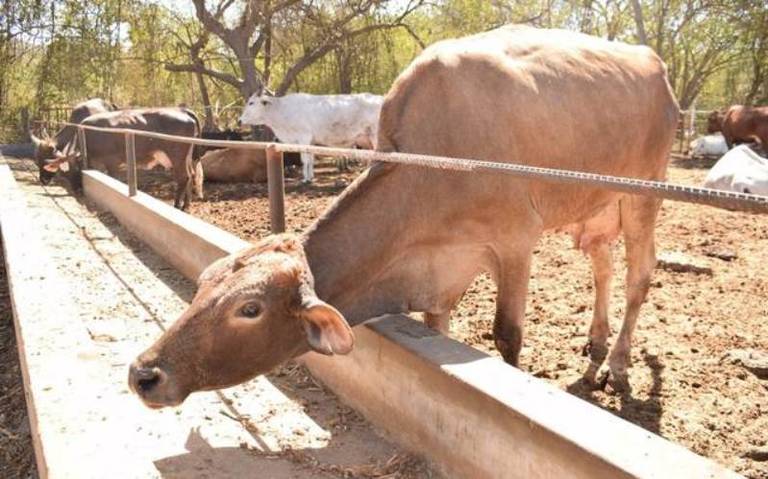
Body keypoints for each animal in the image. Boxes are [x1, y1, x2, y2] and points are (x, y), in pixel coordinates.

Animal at [43, 109, 202, 210]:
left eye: (76, 169)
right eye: (64, 174)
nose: (77, 191)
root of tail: (184, 112)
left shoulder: (113, 162)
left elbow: (114, 179)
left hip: (177, 155)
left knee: (184, 177)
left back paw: (177, 206)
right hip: (186, 156)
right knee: (191, 175)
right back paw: (186, 205)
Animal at [240, 93, 384, 183]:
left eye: (251, 102)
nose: (239, 120)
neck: (281, 110)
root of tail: (380, 98)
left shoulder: (303, 137)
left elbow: (305, 160)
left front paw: (305, 179)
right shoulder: (311, 141)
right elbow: (311, 159)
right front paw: (310, 177)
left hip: (375, 135)